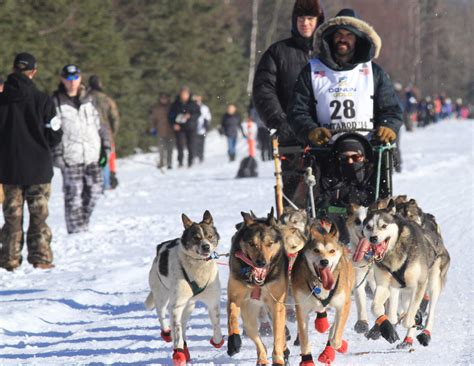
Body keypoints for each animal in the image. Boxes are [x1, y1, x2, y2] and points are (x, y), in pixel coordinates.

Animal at [144, 210, 224, 364]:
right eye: (196, 237)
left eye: (210, 236)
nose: (206, 246)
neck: (199, 267)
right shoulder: (176, 305)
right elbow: (177, 331)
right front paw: (178, 352)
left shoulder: (212, 301)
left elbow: (217, 326)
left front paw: (217, 341)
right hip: (162, 295)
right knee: (162, 314)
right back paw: (168, 335)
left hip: (189, 305)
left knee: (183, 323)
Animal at [227, 207, 288, 364]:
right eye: (251, 243)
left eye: (270, 243)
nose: (261, 262)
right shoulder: (235, 298)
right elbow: (232, 319)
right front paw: (233, 342)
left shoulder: (277, 303)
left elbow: (278, 336)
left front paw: (278, 359)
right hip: (249, 315)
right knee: (257, 339)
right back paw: (262, 359)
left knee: (281, 333)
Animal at [290, 220, 354, 366]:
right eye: (316, 250)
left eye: (332, 251)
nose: (324, 261)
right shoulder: (301, 308)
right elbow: (304, 339)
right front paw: (307, 360)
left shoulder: (344, 304)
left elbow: (336, 338)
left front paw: (338, 346)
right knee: (321, 311)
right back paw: (321, 322)